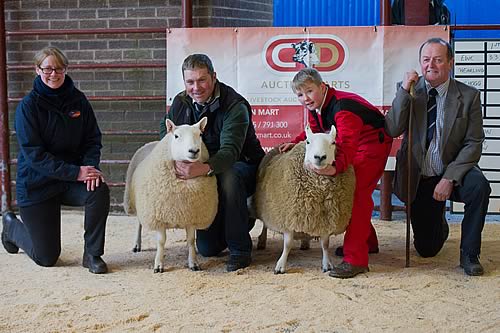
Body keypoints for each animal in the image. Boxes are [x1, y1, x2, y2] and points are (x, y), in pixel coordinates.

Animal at [123, 116, 217, 272]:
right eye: (176, 136)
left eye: (200, 134)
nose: (194, 150)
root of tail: (151, 142)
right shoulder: (159, 216)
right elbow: (161, 242)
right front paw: (158, 264)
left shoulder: (191, 215)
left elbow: (191, 241)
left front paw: (193, 262)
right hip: (139, 203)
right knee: (139, 223)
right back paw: (137, 244)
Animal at [254, 124, 356, 272]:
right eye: (308, 141)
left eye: (333, 143)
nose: (320, 157)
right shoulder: (289, 216)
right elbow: (287, 244)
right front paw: (281, 265)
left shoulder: (326, 219)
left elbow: (325, 244)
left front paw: (327, 264)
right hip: (270, 208)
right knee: (265, 224)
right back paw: (262, 241)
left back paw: (305, 242)